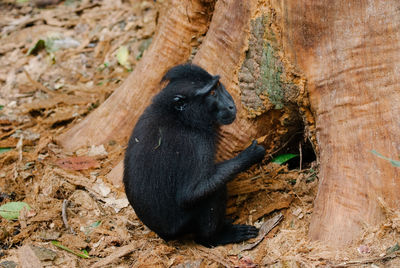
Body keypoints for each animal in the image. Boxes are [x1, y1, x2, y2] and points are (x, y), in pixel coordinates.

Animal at [122, 63, 266, 247]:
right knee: (213, 193)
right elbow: (191, 193)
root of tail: (163, 235)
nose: (231, 105)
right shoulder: (196, 143)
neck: (179, 116)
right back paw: (215, 237)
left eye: (218, 86)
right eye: (212, 93)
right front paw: (250, 155)